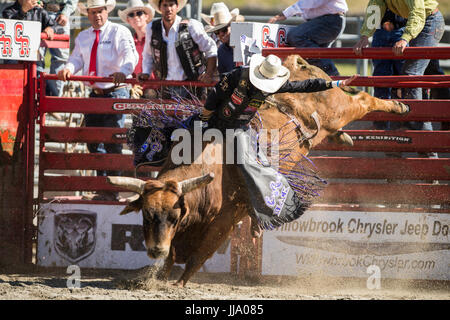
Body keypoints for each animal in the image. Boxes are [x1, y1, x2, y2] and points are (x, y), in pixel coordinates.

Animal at [108, 53, 408, 286]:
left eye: (172, 216)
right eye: (147, 215)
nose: (154, 250)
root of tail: (296, 63)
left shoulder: (227, 217)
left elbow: (200, 253)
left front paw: (178, 283)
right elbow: (174, 256)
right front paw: (158, 278)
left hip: (340, 108)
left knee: (364, 99)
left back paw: (396, 105)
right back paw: (344, 137)